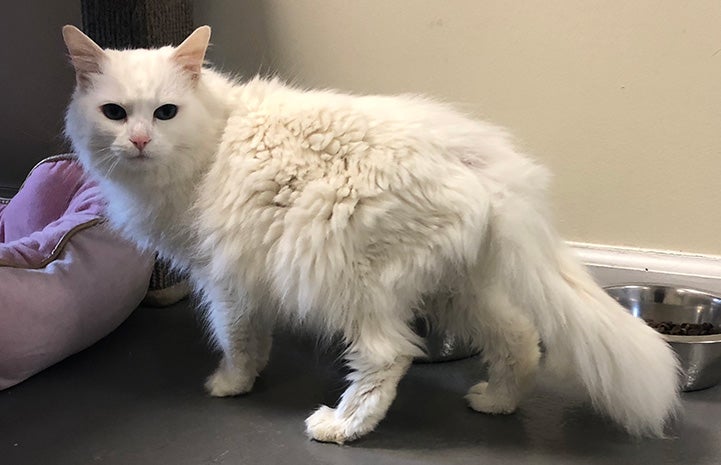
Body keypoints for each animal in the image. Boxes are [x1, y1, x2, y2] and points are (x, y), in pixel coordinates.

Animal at [60, 25, 676, 442]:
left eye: (165, 112)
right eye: (115, 113)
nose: (139, 141)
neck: (213, 134)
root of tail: (478, 162)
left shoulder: (223, 279)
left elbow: (237, 340)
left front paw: (231, 384)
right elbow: (253, 338)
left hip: (350, 282)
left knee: (388, 358)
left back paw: (340, 426)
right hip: (457, 288)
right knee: (520, 338)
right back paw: (496, 401)